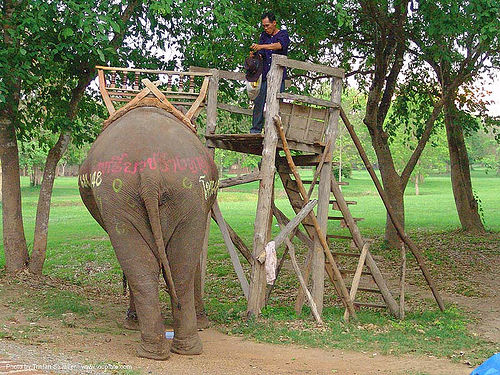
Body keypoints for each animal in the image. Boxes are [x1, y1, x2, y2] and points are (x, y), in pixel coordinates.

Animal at [78, 103, 219, 362]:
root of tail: (149, 168)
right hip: (185, 195)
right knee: (177, 269)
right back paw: (178, 349)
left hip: (122, 198)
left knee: (145, 266)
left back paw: (153, 349)